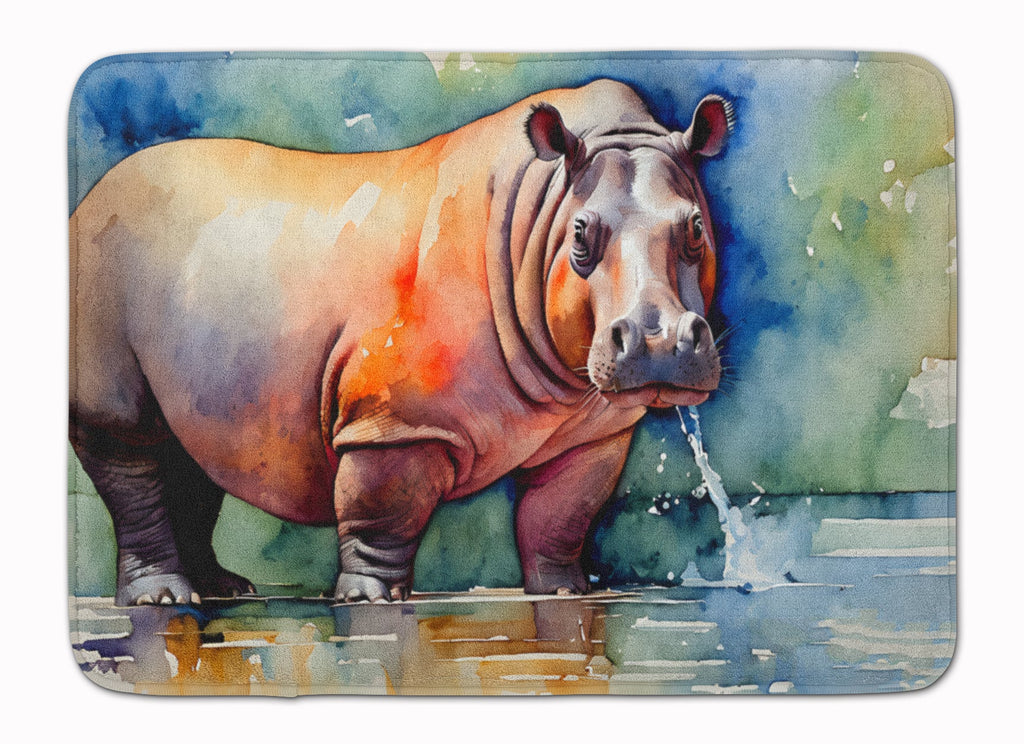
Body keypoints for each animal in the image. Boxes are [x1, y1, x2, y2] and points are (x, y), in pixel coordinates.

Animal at [69, 79, 729, 606]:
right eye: (582, 236)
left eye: (697, 228)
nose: (660, 343)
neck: (541, 213)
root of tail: (87, 198)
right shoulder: (394, 420)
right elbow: (383, 511)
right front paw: (370, 601)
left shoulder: (593, 429)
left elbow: (562, 515)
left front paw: (565, 592)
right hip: (99, 266)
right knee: (126, 440)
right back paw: (161, 601)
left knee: (192, 447)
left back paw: (226, 591)